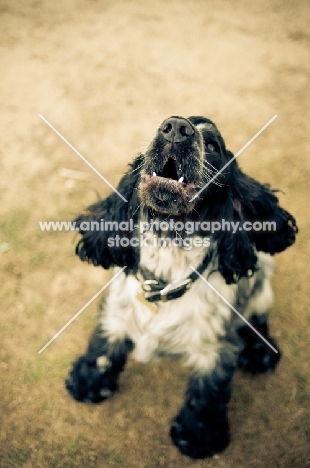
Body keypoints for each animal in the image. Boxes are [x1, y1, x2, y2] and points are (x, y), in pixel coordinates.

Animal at [66, 115, 298, 458]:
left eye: (213, 145)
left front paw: (198, 436)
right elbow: (103, 348)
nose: (176, 127)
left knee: (258, 318)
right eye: (160, 125)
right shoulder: (116, 312)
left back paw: (260, 352)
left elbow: (208, 392)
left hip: (261, 282)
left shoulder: (214, 347)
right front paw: (88, 381)